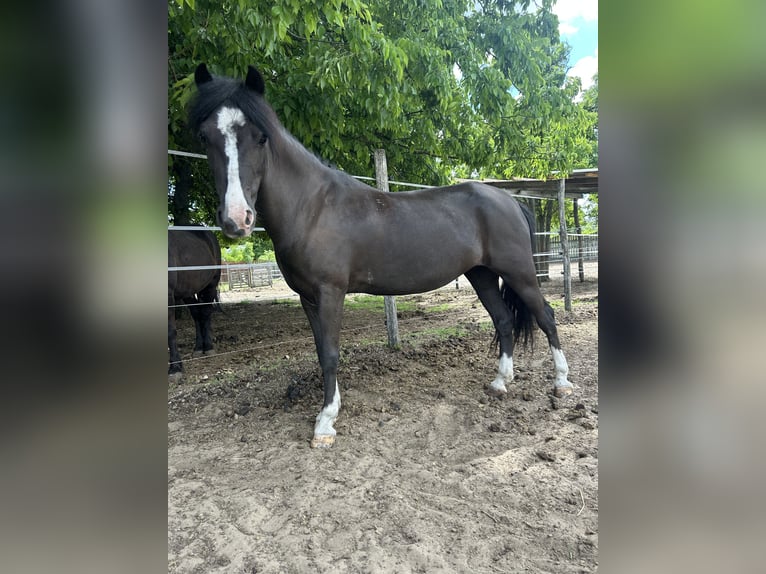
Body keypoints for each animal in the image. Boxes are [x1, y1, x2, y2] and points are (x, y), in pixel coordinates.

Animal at [168, 228, 221, 381]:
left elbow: (170, 332)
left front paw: (175, 368)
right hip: (189, 292)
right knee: (197, 314)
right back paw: (198, 348)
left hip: (210, 285)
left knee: (206, 313)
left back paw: (208, 347)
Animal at [190, 64, 574, 447]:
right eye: (205, 138)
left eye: (261, 137)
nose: (237, 219)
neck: (312, 207)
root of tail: (509, 200)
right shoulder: (307, 297)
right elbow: (321, 351)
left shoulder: (330, 292)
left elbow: (331, 354)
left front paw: (325, 424)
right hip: (481, 274)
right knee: (504, 320)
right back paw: (499, 383)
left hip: (519, 272)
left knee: (546, 316)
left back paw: (562, 383)